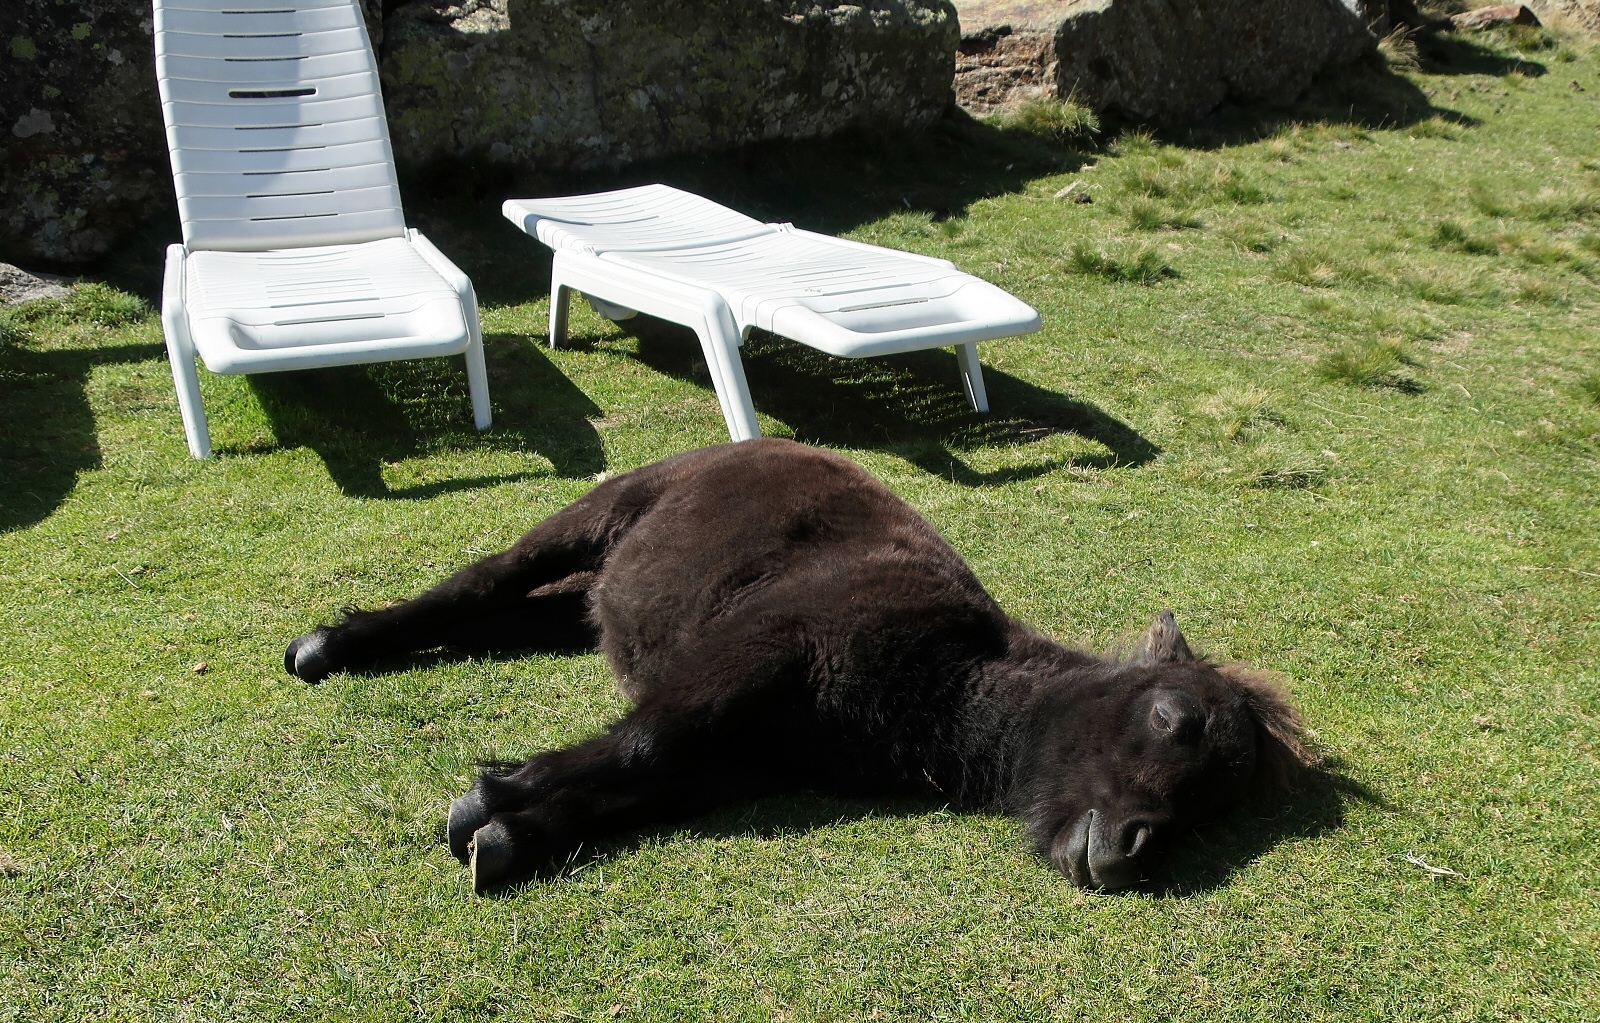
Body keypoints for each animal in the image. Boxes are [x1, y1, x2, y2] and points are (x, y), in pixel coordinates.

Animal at [288, 435, 1312, 890]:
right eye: (1172, 717)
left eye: (1220, 798)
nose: (1129, 849)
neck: (943, 677)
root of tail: (750, 441)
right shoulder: (744, 664)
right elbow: (641, 744)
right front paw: (488, 800)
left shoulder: (743, 760)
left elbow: (636, 785)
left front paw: (511, 834)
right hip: (596, 513)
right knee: (478, 582)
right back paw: (325, 648)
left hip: (589, 597)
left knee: (510, 614)